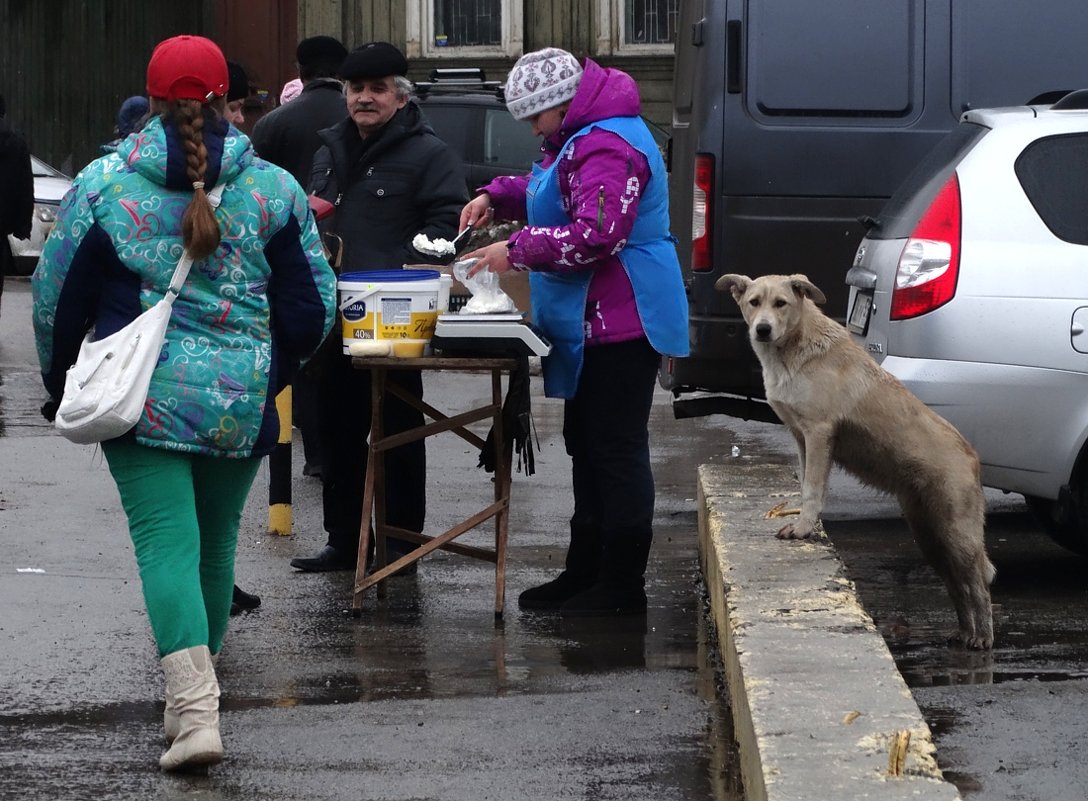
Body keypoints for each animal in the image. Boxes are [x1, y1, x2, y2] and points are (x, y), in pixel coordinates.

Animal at [713, 272, 996, 648]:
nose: (762, 329)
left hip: (958, 533)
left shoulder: (819, 432)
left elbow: (812, 490)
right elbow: (810, 485)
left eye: (781, 304)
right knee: (957, 585)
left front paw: (802, 529)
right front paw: (808, 525)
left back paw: (983, 637)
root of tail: (972, 457)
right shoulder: (801, 437)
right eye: (754, 302)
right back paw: (964, 632)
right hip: (930, 536)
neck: (795, 350)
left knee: (978, 584)